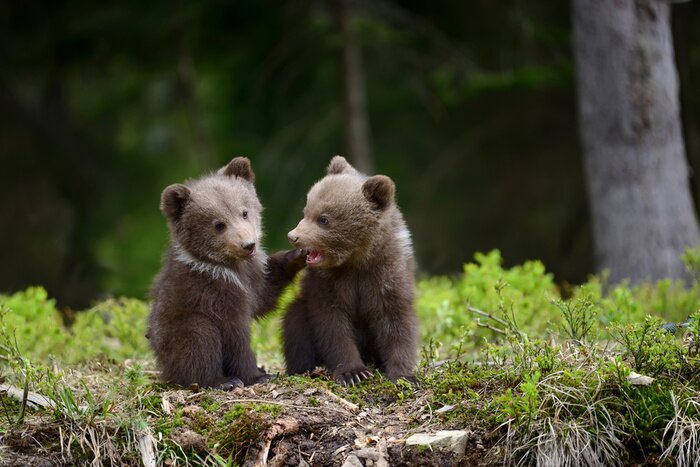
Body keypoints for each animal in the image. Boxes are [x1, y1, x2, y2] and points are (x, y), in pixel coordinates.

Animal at [148, 157, 306, 389]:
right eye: (219, 224)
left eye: (244, 212)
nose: (248, 245)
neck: (230, 267)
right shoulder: (214, 292)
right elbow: (234, 335)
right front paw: (256, 375)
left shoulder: (252, 277)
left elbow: (264, 296)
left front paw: (297, 255)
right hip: (178, 327)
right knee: (199, 339)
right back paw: (222, 380)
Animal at [284, 155, 419, 385]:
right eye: (306, 211)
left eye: (323, 218)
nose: (294, 236)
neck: (356, 260)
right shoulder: (328, 283)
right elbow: (332, 324)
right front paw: (353, 372)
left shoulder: (387, 274)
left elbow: (396, 321)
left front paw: (404, 375)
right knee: (295, 322)